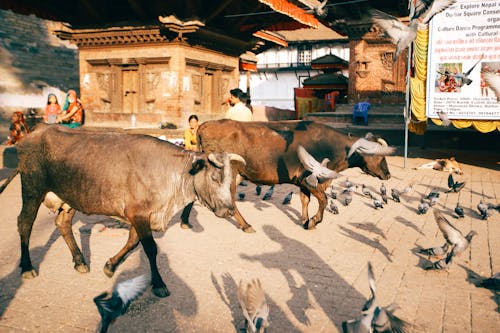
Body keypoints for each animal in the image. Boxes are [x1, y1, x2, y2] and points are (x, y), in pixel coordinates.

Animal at [0, 123, 244, 296]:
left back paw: (80, 261)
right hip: (32, 189)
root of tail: (40, 128)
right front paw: (158, 283)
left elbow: (132, 243)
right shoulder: (139, 214)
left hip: (69, 196)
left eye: (231, 179)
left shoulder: (140, 217)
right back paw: (27, 267)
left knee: (62, 224)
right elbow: (150, 249)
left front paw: (110, 265)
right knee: (24, 223)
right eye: (214, 178)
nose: (228, 210)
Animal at [188, 118, 394, 231]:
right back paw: (245, 225)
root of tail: (205, 125)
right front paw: (313, 221)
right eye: (378, 155)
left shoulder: (302, 182)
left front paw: (304, 219)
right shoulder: (309, 179)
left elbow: (305, 200)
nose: (388, 175)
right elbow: (324, 200)